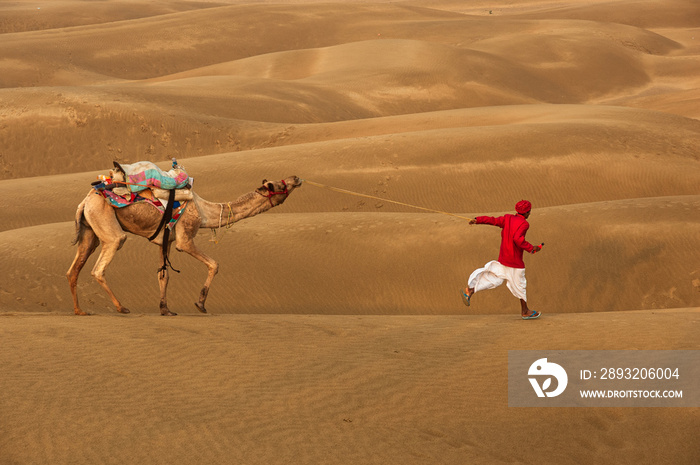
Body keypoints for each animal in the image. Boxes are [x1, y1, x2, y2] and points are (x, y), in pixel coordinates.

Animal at [66, 175, 304, 316]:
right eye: (279, 185)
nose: (296, 178)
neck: (205, 211)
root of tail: (85, 201)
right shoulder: (184, 238)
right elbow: (214, 264)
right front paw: (200, 304)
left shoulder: (165, 240)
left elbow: (163, 275)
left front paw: (166, 309)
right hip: (107, 225)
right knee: (101, 266)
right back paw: (121, 307)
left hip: (90, 232)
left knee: (74, 269)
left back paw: (79, 311)